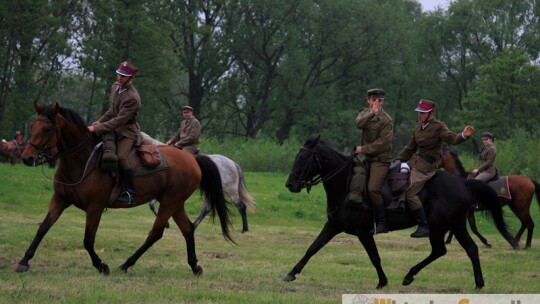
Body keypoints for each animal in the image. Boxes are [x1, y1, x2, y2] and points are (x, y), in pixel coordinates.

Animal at [14, 103, 233, 274]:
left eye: (47, 129)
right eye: (33, 125)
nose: (27, 157)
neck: (83, 161)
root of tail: (192, 159)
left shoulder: (95, 207)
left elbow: (88, 240)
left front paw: (101, 266)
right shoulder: (60, 199)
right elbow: (43, 228)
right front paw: (24, 261)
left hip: (170, 203)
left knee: (156, 233)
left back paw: (126, 264)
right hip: (174, 203)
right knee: (187, 229)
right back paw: (194, 266)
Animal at [282, 138, 516, 290]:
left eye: (303, 158)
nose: (290, 185)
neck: (346, 185)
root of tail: (464, 182)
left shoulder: (363, 232)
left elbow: (374, 257)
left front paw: (382, 282)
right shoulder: (333, 226)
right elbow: (313, 248)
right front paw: (291, 273)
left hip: (442, 226)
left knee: (447, 250)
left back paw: (412, 275)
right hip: (452, 226)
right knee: (464, 249)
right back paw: (475, 283)